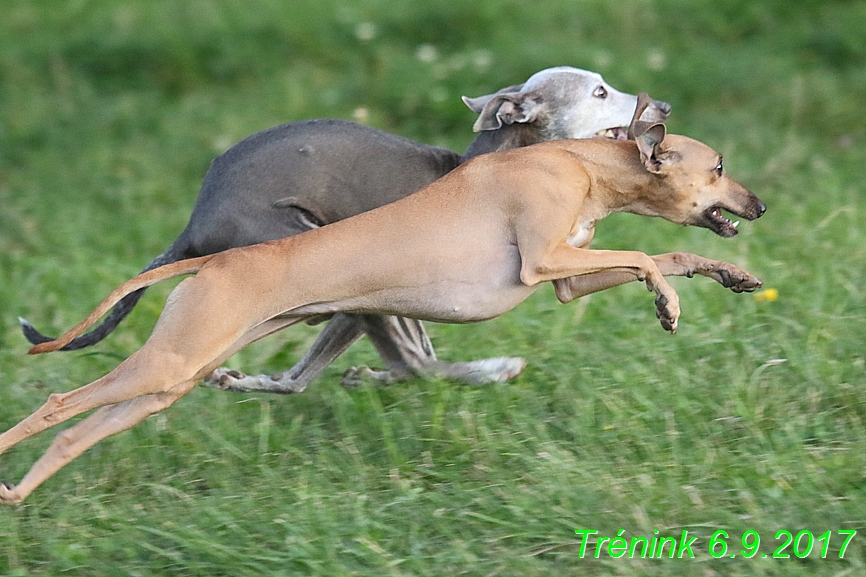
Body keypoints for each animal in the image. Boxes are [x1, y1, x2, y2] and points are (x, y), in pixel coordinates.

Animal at [0, 97, 764, 502]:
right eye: (720, 166)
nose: (759, 204)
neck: (576, 160)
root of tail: (208, 249)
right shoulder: (544, 261)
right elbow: (647, 258)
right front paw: (668, 303)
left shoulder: (569, 275)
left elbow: (667, 255)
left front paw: (728, 275)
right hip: (169, 362)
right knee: (60, 403)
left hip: (173, 378)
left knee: (74, 432)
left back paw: (19, 491)